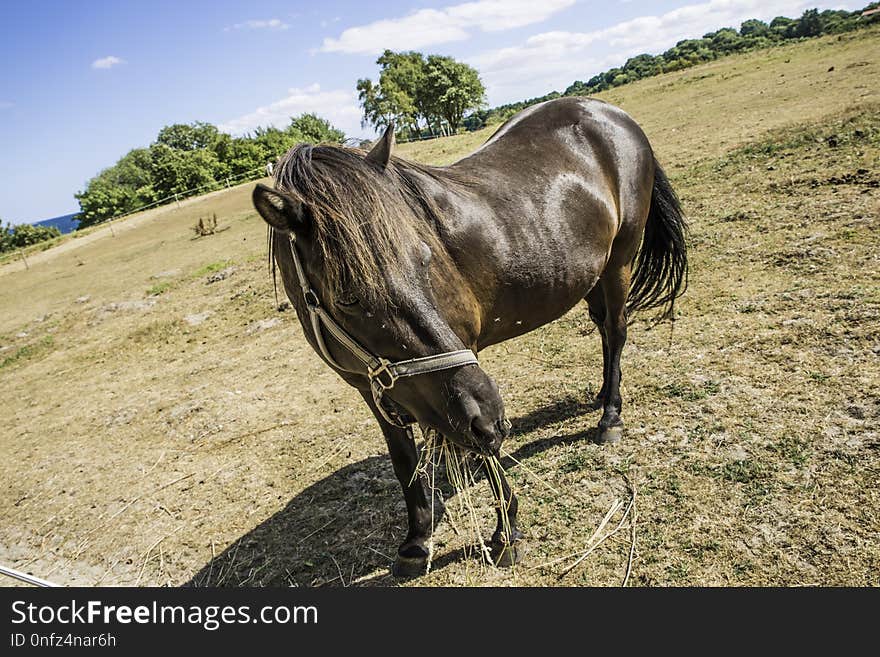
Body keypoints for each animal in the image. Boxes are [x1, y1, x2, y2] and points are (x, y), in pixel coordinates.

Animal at [251, 95, 692, 576]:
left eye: (425, 258)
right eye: (347, 296)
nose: (493, 415)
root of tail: (611, 113)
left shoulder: (462, 379)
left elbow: (485, 446)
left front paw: (506, 534)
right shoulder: (376, 388)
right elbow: (405, 460)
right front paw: (417, 540)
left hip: (619, 263)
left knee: (616, 330)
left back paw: (610, 416)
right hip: (592, 273)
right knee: (604, 331)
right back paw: (601, 395)